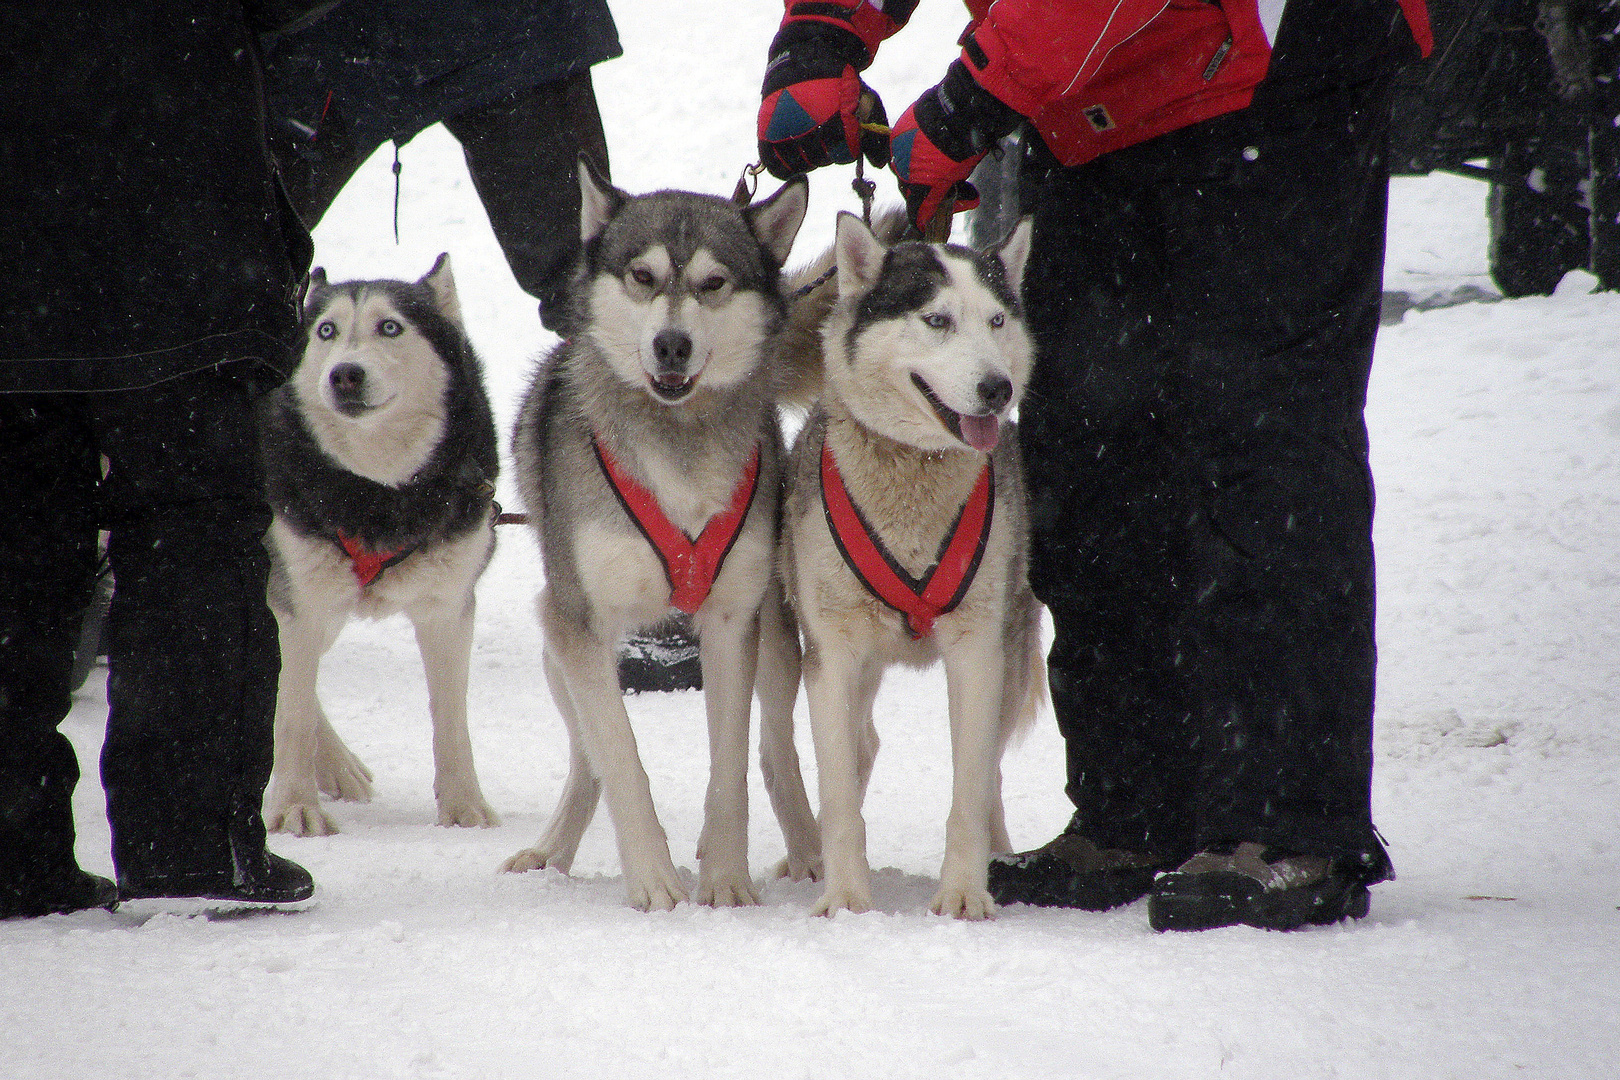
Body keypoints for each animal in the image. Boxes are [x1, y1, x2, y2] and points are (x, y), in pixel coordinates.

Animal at [254, 254, 498, 835]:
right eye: (326, 331)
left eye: (391, 327)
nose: (345, 373)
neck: (377, 491)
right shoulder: (299, 601)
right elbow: (291, 714)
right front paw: (293, 806)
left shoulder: (447, 609)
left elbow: (451, 721)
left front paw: (463, 807)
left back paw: (337, 766)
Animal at [502, 158, 822, 906]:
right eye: (643, 276)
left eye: (713, 283)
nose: (670, 344)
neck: (677, 447)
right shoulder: (581, 625)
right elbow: (620, 759)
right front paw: (652, 878)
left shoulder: (731, 623)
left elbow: (730, 768)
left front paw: (725, 880)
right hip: (558, 645)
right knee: (588, 759)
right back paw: (553, 849)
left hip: (775, 638)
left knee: (775, 751)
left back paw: (808, 849)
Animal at [784, 213, 1049, 919]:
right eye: (936, 320)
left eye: (996, 320)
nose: (997, 389)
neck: (914, 472)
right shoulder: (832, 654)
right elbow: (838, 790)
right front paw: (846, 897)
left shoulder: (977, 652)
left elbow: (970, 786)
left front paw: (964, 892)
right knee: (860, 747)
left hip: (1010, 655)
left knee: (989, 775)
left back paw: (1000, 856)